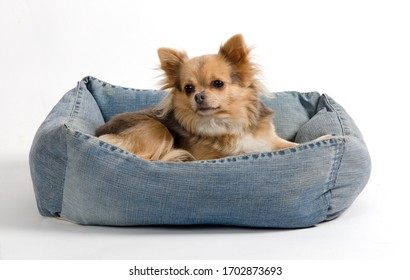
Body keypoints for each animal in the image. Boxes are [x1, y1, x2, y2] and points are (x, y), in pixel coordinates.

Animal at [95, 34, 298, 162]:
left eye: (218, 83)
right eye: (188, 88)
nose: (198, 96)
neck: (228, 123)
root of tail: (98, 133)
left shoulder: (271, 140)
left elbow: (292, 144)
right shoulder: (209, 157)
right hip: (156, 129)